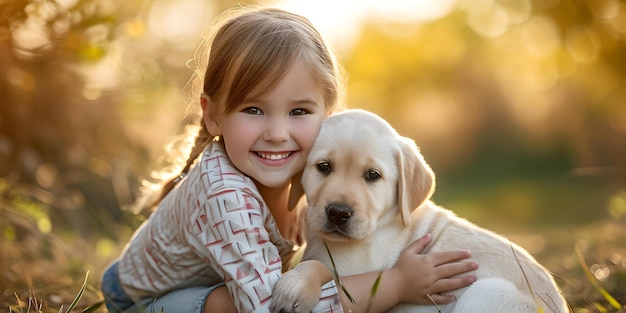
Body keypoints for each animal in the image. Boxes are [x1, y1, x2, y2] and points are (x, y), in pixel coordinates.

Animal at [270, 109, 568, 312]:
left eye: (373, 175)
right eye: (324, 167)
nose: (338, 213)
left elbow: (322, 267)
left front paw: (295, 288)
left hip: (485, 292)